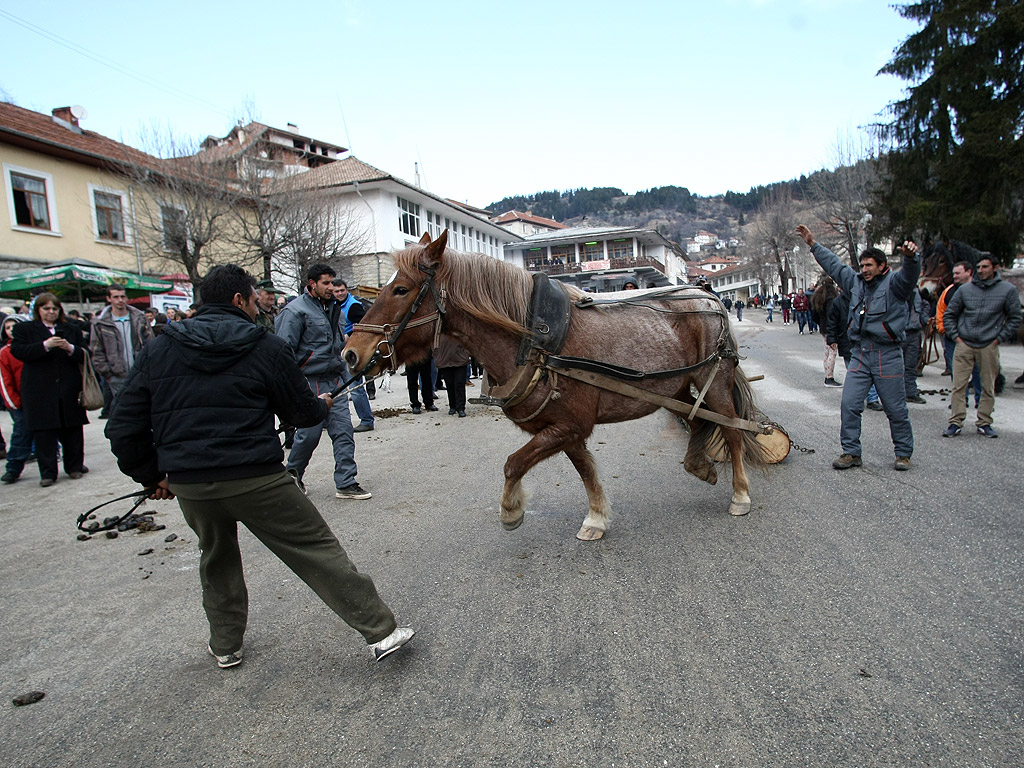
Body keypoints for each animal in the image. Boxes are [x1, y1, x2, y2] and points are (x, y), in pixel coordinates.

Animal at [344, 233, 770, 540]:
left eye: (401, 289)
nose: (350, 353)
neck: (535, 341)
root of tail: (707, 295)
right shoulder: (565, 428)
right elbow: (583, 470)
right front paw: (596, 518)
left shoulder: (569, 425)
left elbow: (514, 463)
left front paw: (511, 511)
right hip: (674, 387)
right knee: (698, 420)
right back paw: (699, 465)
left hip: (713, 380)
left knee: (732, 430)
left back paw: (740, 494)